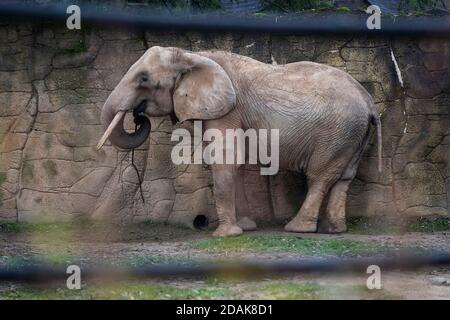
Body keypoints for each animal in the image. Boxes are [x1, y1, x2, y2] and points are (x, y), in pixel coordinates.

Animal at [96, 47, 382, 238]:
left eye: (143, 79)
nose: (138, 116)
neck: (192, 55)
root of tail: (368, 102)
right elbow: (239, 163)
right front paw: (245, 227)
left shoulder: (227, 109)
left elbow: (225, 159)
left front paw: (225, 235)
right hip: (353, 134)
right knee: (343, 177)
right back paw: (334, 230)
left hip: (337, 132)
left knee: (319, 177)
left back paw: (298, 228)